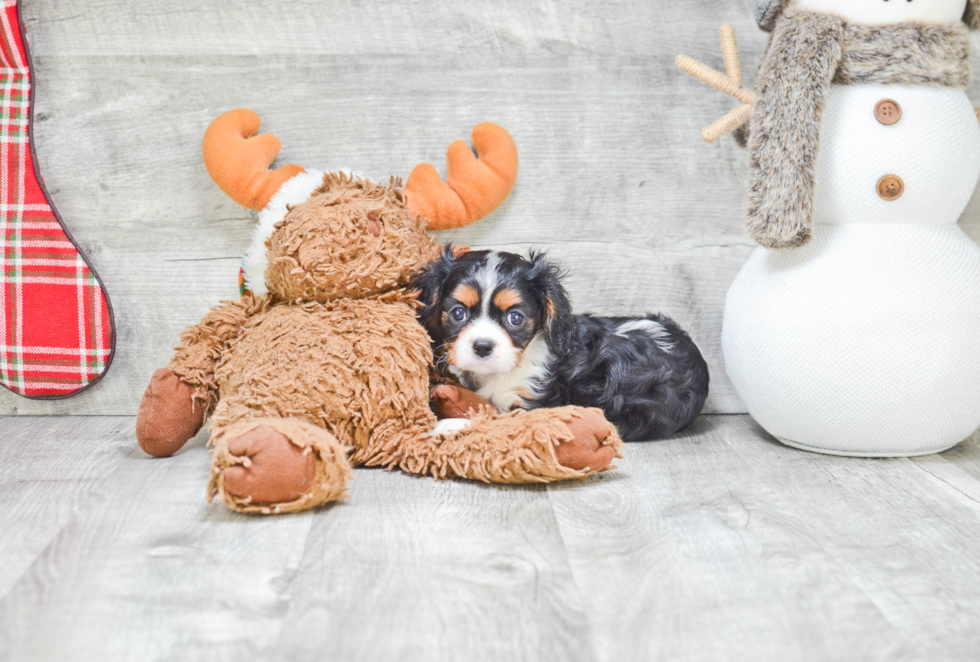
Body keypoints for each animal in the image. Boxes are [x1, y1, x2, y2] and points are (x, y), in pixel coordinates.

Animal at [418, 248, 708, 440]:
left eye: (515, 318)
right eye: (458, 313)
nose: (482, 346)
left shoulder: (539, 407)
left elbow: (495, 419)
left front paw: (446, 425)